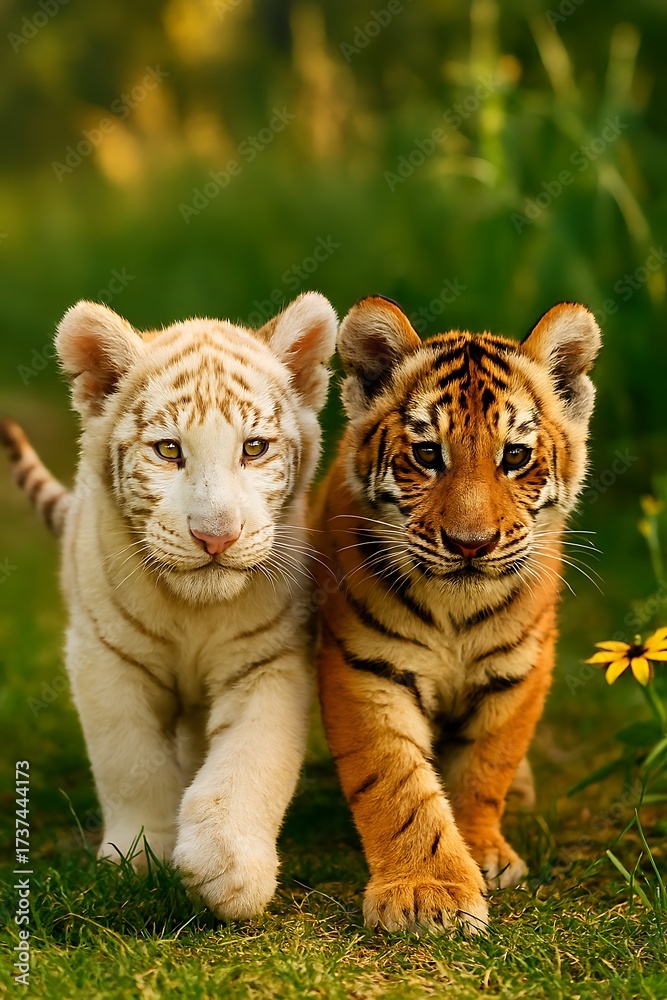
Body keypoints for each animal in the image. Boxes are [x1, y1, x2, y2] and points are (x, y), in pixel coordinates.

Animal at [1, 292, 337, 920]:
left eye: (254, 448)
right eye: (169, 450)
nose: (216, 537)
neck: (193, 611)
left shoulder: (270, 661)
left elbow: (250, 760)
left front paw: (227, 869)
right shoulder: (106, 658)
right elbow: (130, 762)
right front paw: (138, 857)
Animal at [313, 295, 601, 934]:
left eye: (514, 456)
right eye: (427, 454)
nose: (471, 544)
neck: (456, 610)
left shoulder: (519, 671)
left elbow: (484, 767)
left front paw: (482, 851)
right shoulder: (366, 669)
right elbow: (397, 785)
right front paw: (429, 892)